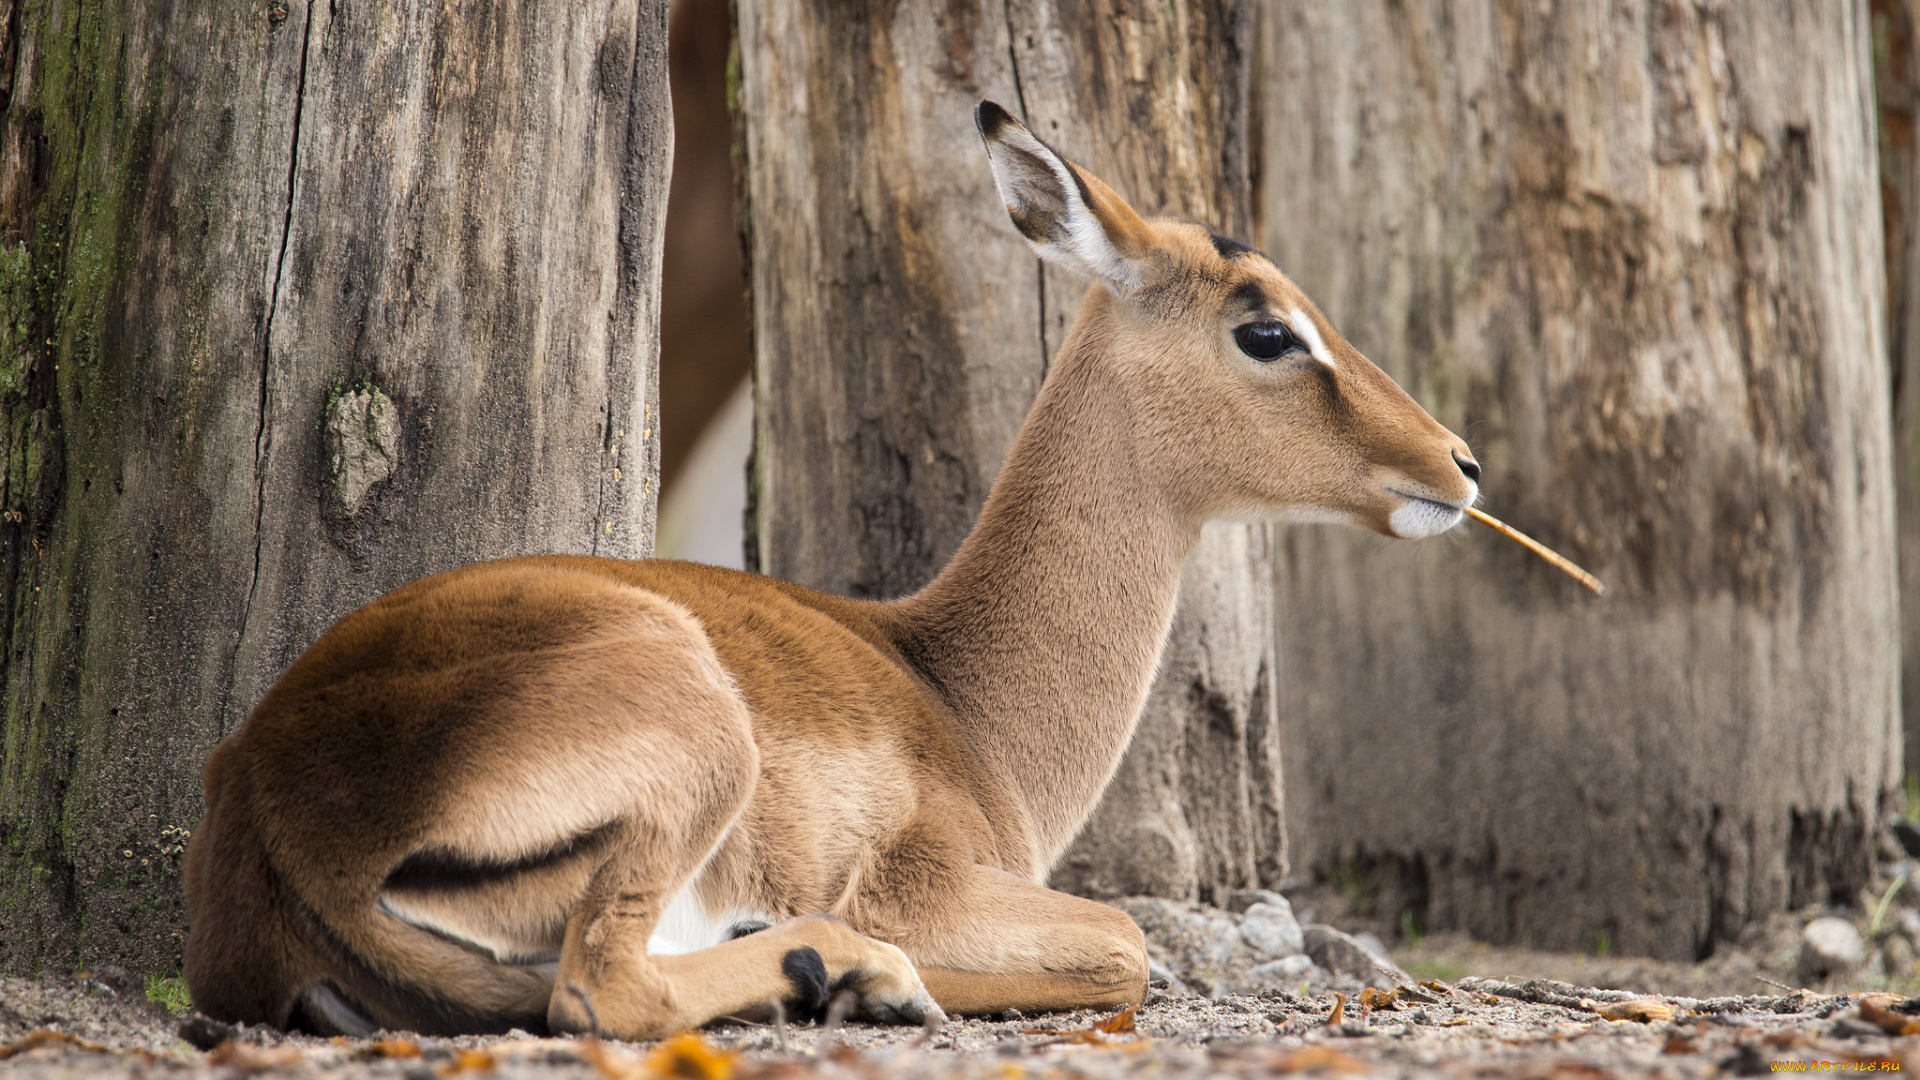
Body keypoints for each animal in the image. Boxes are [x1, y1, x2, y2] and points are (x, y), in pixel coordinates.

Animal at [180, 100, 1474, 1037]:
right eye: (1265, 328)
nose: (1457, 463)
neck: (958, 694)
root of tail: (268, 792)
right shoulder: (929, 884)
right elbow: (1126, 943)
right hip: (694, 753)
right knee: (606, 987)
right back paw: (849, 974)